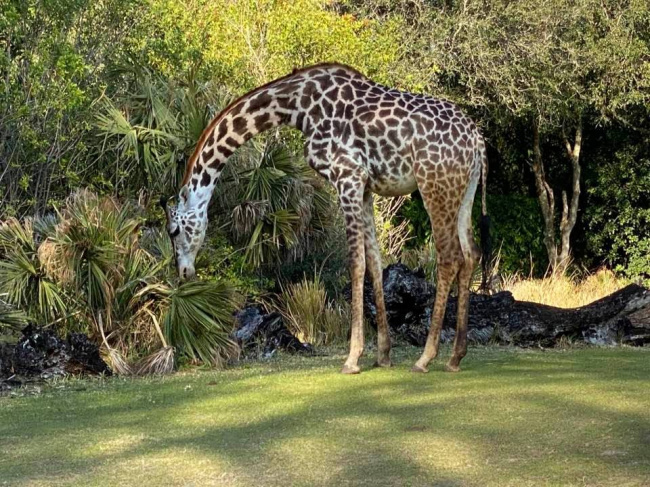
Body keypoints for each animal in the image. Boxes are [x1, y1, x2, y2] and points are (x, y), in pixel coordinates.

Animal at [162, 61, 486, 374]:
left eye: (174, 231)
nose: (183, 272)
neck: (297, 108)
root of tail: (477, 140)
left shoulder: (348, 176)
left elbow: (355, 263)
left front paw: (353, 358)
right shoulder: (365, 187)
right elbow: (375, 261)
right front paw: (382, 354)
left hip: (434, 184)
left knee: (449, 256)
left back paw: (425, 358)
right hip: (464, 190)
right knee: (471, 253)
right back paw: (455, 356)